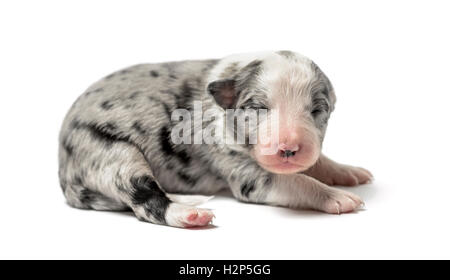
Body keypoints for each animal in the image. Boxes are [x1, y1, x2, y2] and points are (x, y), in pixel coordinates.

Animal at [58, 50, 370, 228]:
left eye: (317, 110)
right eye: (258, 107)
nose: (288, 148)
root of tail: (65, 173)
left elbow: (318, 162)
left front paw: (349, 173)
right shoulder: (247, 176)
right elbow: (298, 180)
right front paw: (338, 197)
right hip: (112, 154)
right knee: (145, 201)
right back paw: (189, 216)